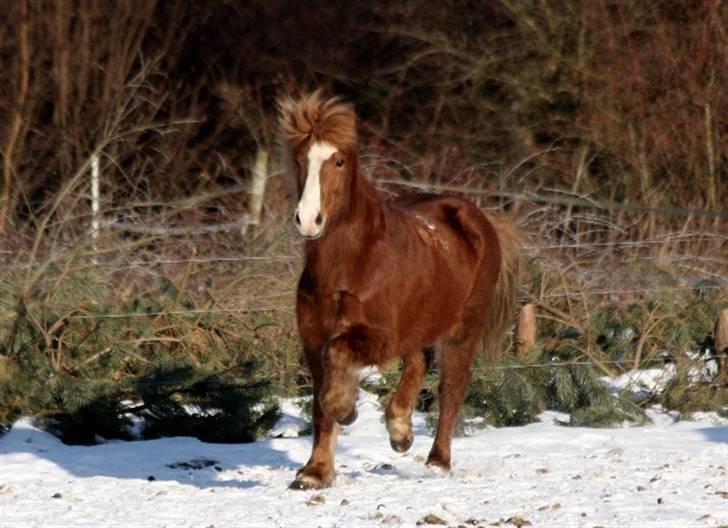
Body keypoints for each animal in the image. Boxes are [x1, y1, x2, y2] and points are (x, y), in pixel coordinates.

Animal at [276, 92, 520, 490]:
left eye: (339, 160)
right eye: (300, 160)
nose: (309, 220)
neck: (351, 264)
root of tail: (477, 215)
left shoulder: (379, 337)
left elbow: (337, 362)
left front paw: (346, 409)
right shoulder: (312, 338)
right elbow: (318, 402)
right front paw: (315, 473)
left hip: (464, 328)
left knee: (451, 388)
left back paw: (437, 461)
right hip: (420, 321)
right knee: (420, 361)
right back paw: (400, 431)